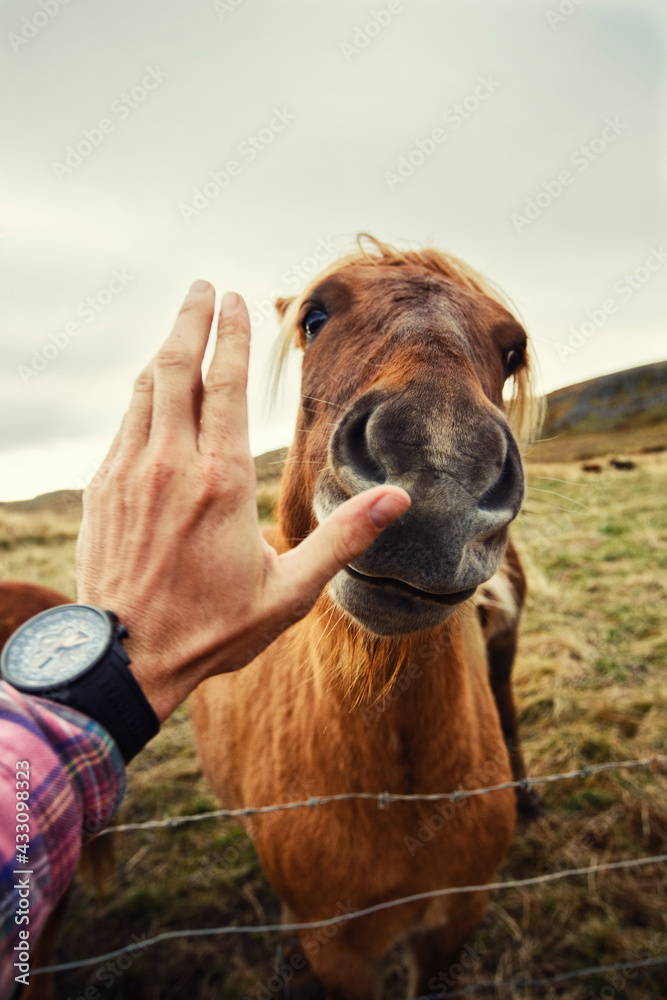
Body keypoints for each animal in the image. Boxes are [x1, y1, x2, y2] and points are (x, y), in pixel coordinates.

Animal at [189, 238, 544, 996]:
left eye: (511, 351)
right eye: (314, 318)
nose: (437, 466)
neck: (398, 797)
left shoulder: (455, 923)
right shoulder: (339, 951)